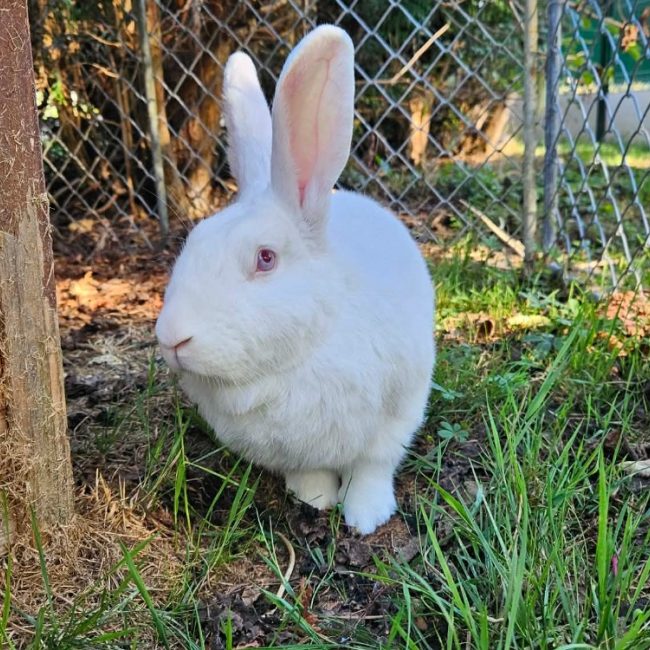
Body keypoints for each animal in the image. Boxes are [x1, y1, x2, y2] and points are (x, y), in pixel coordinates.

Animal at [155, 25, 435, 535]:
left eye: (265, 258)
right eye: (193, 243)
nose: (171, 338)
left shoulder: (395, 417)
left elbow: (372, 467)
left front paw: (365, 517)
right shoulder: (295, 453)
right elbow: (310, 473)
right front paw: (315, 501)